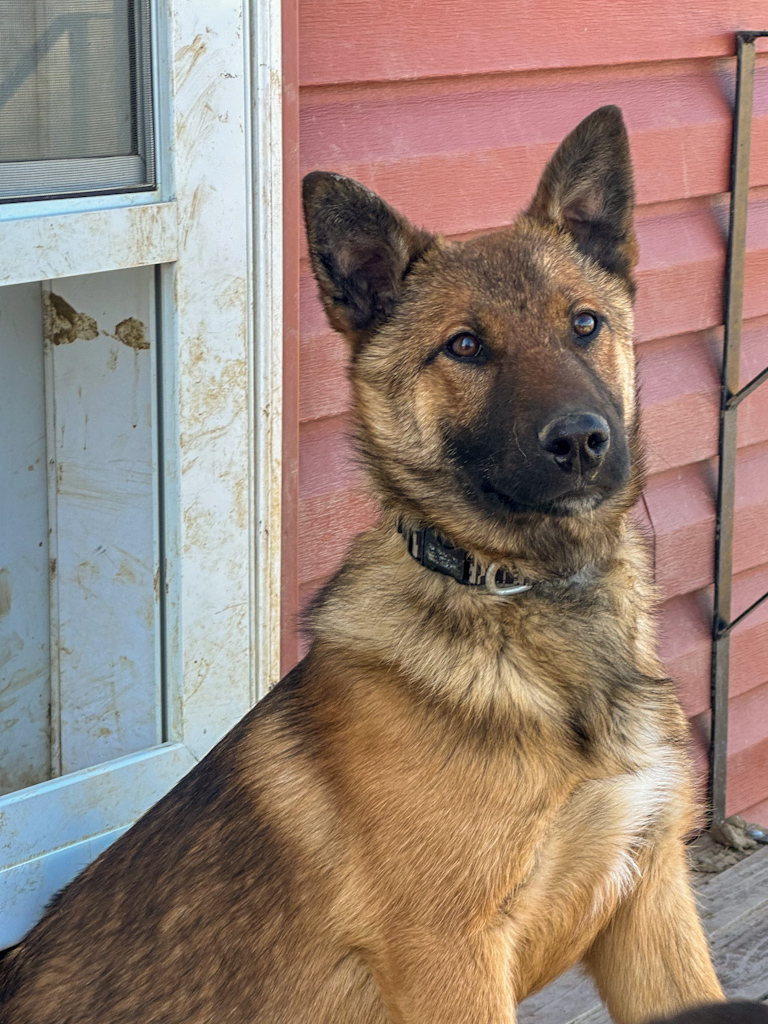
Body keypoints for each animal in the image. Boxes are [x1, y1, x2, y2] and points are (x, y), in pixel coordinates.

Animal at [0, 105, 724, 1024]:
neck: (528, 600)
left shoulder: (651, 903)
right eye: (465, 346)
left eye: (585, 324)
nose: (582, 443)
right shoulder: (454, 957)